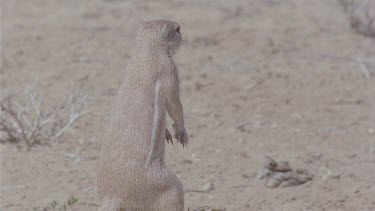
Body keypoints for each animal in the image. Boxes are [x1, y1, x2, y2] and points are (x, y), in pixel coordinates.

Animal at [98, 20, 189, 211]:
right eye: (177, 29)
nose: (182, 32)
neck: (145, 51)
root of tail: (112, 197)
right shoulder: (171, 71)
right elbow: (175, 106)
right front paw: (181, 133)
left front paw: (167, 134)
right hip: (172, 186)